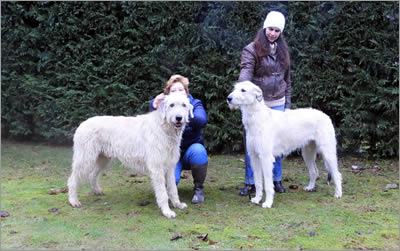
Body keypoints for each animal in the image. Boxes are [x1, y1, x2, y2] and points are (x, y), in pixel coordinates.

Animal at [227, 81, 342, 209]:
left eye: (243, 90)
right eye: (234, 88)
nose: (228, 98)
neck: (256, 116)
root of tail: (325, 115)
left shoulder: (266, 158)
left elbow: (268, 184)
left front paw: (268, 202)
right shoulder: (254, 157)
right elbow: (257, 182)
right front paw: (257, 198)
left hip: (328, 152)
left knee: (337, 173)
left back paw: (338, 193)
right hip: (307, 153)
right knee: (314, 171)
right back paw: (310, 187)